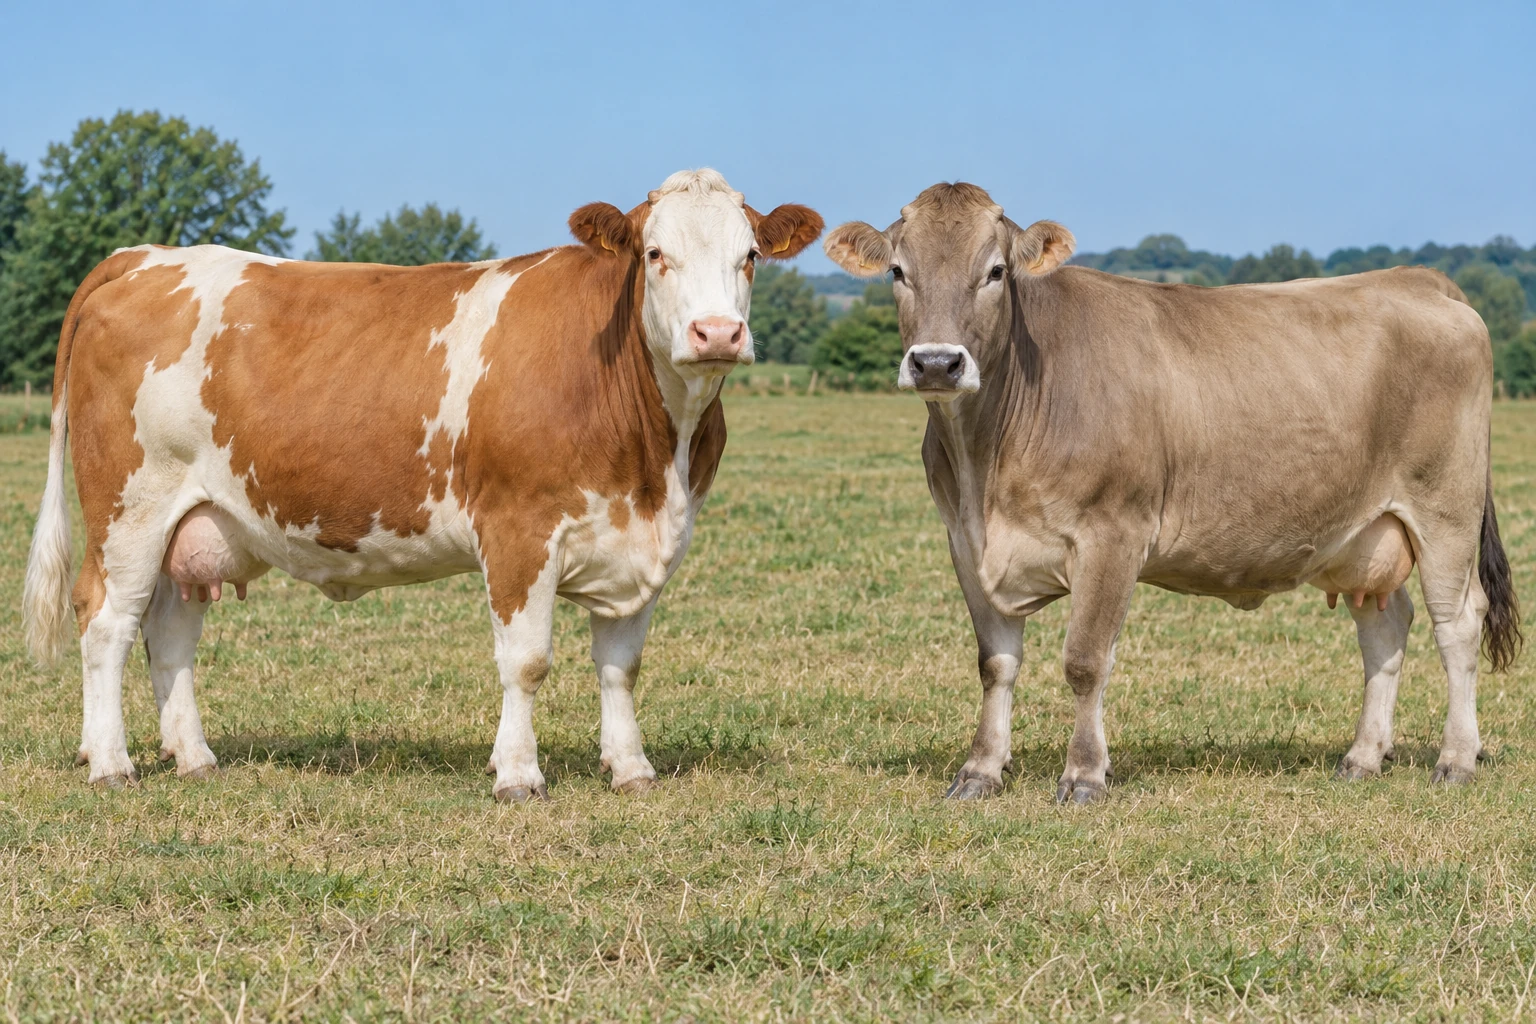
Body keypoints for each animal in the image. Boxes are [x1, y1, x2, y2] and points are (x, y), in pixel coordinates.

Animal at [22, 168, 823, 802]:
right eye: (656, 254)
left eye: (750, 256)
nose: (716, 333)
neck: (654, 461)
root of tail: (144, 255)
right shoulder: (519, 531)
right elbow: (526, 662)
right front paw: (518, 775)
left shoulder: (643, 541)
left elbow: (621, 667)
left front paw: (630, 769)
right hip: (130, 508)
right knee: (106, 621)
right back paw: (112, 763)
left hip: (196, 520)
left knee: (169, 629)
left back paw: (192, 756)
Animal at [824, 182, 1520, 803]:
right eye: (898, 271)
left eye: (995, 271)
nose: (937, 363)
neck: (986, 468)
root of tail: (1414, 278)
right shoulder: (966, 543)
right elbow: (996, 664)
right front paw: (980, 772)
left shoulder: (1112, 533)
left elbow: (1085, 661)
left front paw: (1084, 775)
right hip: (1368, 533)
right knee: (1385, 626)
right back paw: (1363, 757)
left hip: (1445, 510)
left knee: (1458, 623)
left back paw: (1456, 760)